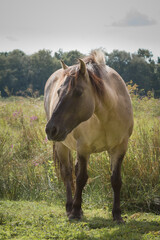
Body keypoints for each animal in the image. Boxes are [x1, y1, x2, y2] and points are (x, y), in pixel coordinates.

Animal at [44, 50, 133, 223]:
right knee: (67, 173)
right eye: (58, 92)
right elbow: (80, 178)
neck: (106, 116)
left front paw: (117, 215)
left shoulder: (119, 148)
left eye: (78, 92)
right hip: (61, 145)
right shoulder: (83, 148)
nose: (51, 129)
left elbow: (116, 180)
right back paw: (69, 207)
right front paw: (75, 212)